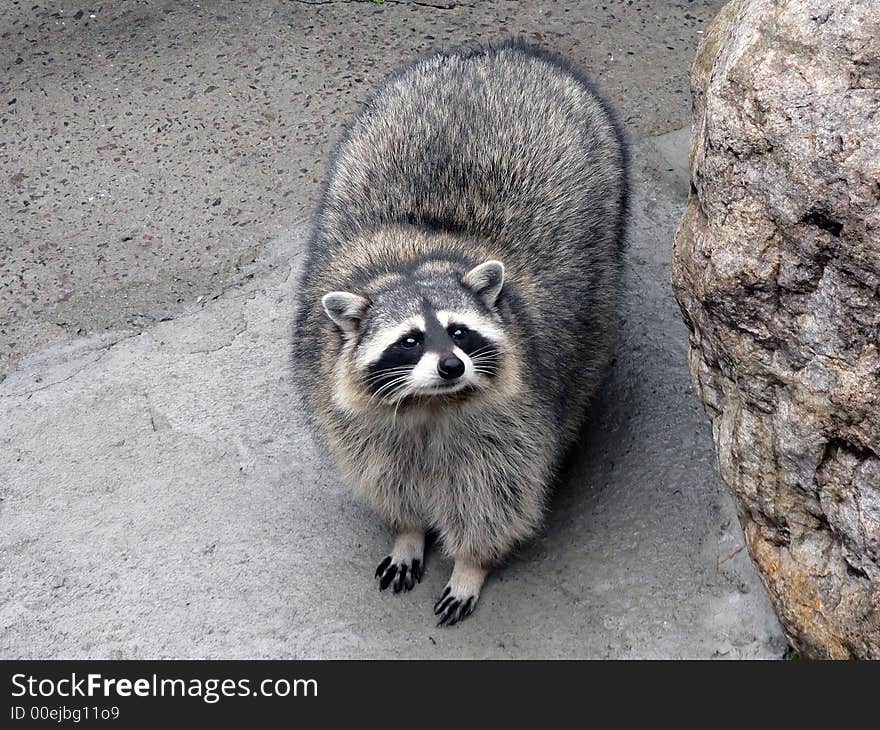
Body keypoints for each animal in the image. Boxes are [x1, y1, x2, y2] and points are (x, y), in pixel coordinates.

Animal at [294, 38, 624, 624]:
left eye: (460, 332)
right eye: (410, 340)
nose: (452, 366)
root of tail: (500, 50)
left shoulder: (518, 412)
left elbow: (497, 491)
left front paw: (472, 563)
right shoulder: (339, 400)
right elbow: (382, 472)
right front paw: (406, 531)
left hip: (602, 235)